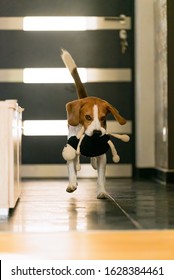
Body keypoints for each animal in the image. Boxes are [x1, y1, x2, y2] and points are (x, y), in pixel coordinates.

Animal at [61, 50, 126, 199]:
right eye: (88, 117)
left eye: (103, 118)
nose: (97, 133)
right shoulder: (71, 147)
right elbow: (71, 168)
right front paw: (72, 184)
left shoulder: (102, 155)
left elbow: (101, 176)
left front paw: (102, 191)